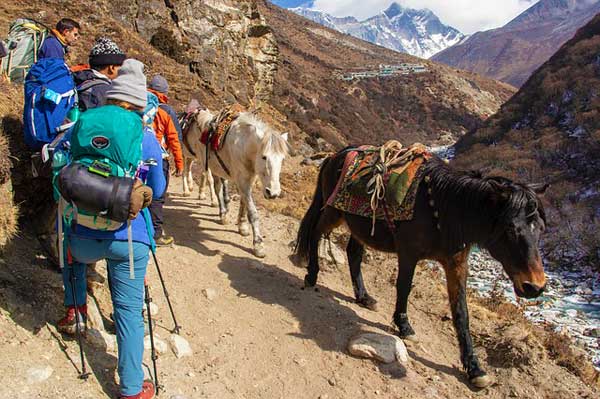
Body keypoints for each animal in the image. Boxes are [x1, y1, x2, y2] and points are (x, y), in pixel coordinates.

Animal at [180, 108, 288, 258]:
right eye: (264, 157)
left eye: (282, 159)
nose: (273, 193)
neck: (243, 146)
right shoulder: (242, 181)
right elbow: (253, 213)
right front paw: (258, 245)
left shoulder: (248, 180)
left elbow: (244, 204)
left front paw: (242, 226)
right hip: (200, 160)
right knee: (199, 177)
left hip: (213, 166)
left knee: (215, 185)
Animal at [296, 150, 548, 388]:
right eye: (511, 228)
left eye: (540, 229)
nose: (534, 286)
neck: (445, 211)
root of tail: (334, 156)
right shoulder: (409, 254)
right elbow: (404, 287)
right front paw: (404, 326)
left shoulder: (456, 265)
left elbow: (461, 312)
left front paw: (475, 368)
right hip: (334, 213)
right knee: (316, 232)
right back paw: (312, 274)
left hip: (360, 226)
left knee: (353, 253)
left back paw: (364, 297)